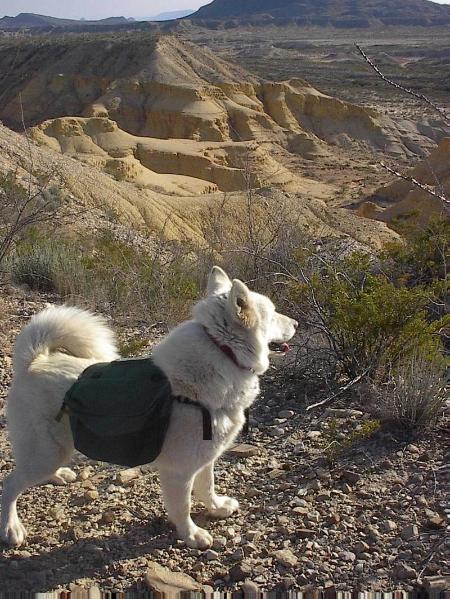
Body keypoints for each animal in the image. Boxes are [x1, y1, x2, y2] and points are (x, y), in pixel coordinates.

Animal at [0, 270, 298, 552]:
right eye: (273, 314)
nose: (296, 324)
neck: (223, 352)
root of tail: (34, 362)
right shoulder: (179, 472)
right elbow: (183, 507)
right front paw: (192, 535)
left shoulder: (205, 458)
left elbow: (207, 486)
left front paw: (217, 507)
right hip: (44, 453)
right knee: (10, 484)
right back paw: (11, 528)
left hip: (54, 451)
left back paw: (58, 475)